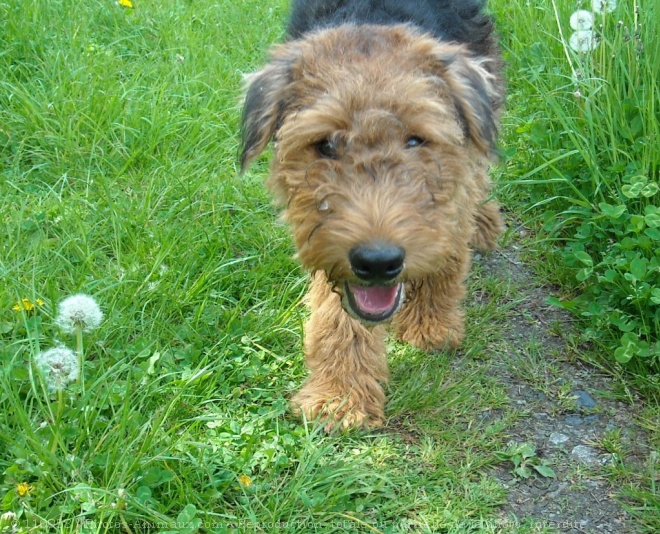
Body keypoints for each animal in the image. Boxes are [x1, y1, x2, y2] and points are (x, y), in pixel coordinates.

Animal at [240, 0, 502, 434]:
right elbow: (337, 314)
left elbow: (450, 245)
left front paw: (431, 322)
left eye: (415, 140)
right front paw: (339, 394)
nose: (378, 262)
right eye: (325, 144)